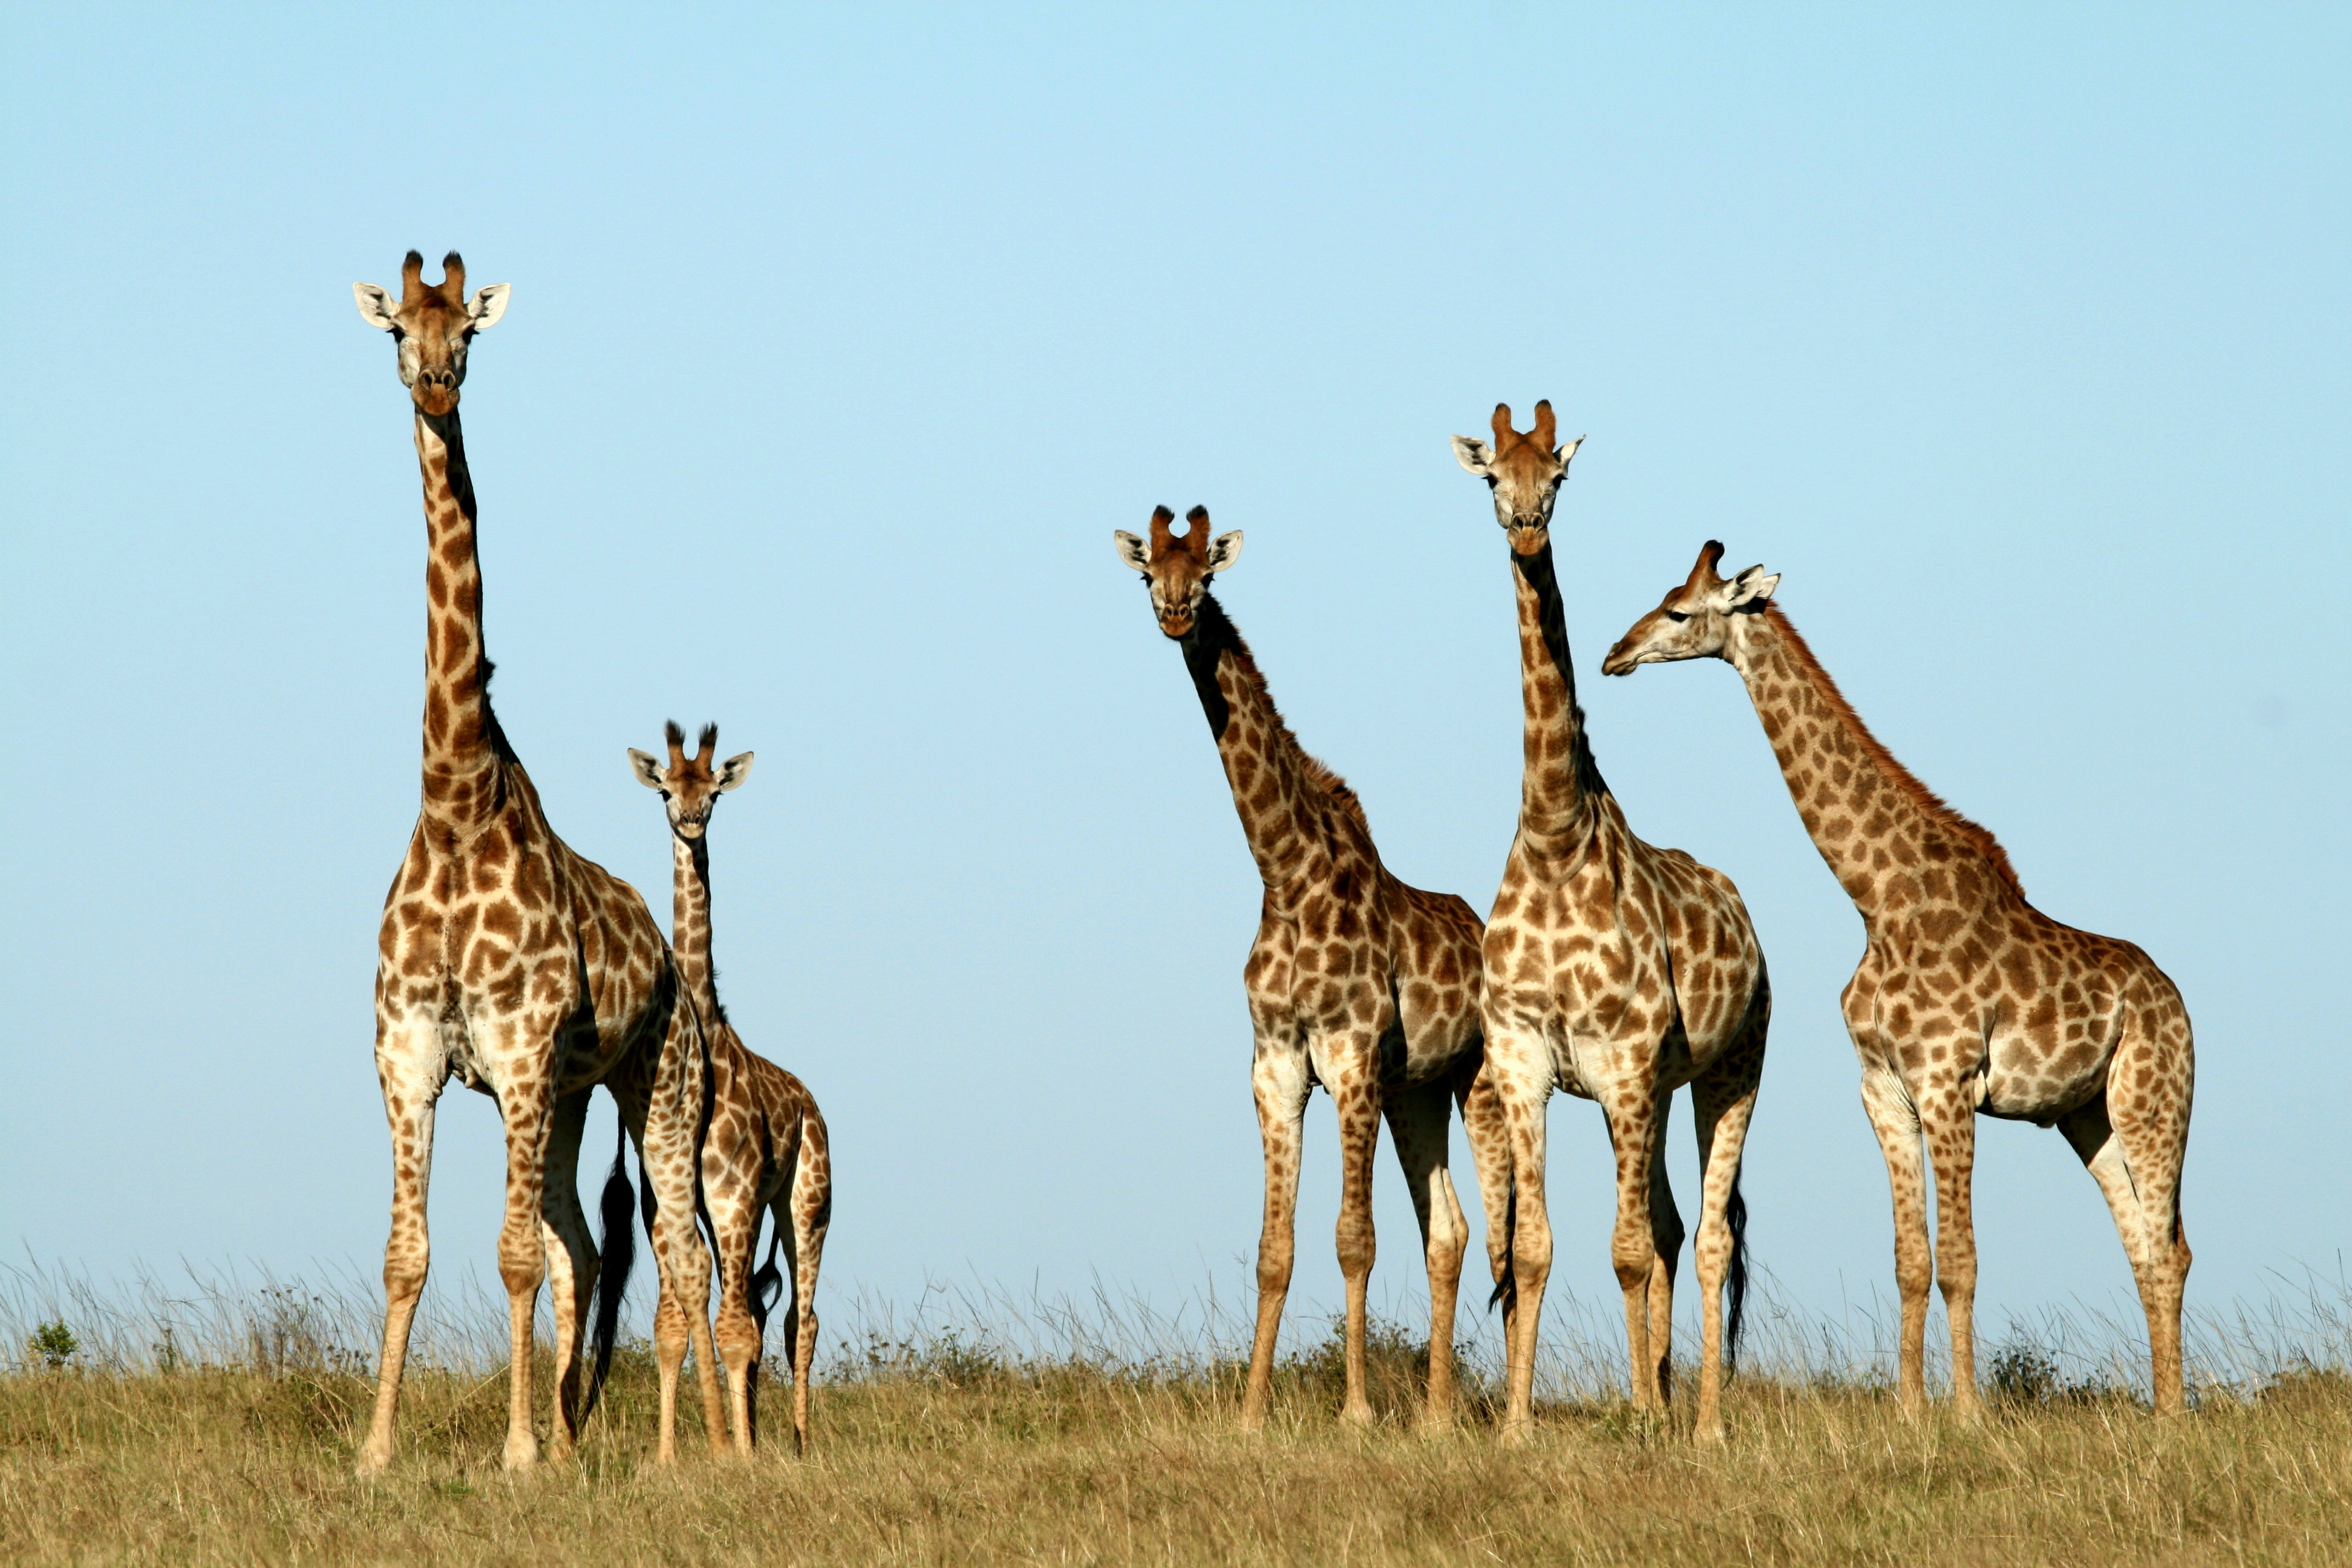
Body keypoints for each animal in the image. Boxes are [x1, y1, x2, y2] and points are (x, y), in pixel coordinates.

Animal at [348, 247, 724, 1476]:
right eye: (396, 330)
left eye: (468, 328)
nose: (434, 380)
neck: (455, 799)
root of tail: (674, 963)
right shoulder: (409, 1052)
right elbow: (407, 1254)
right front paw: (377, 1453)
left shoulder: (512, 1053)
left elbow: (509, 1255)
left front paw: (512, 1453)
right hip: (566, 1097)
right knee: (583, 1248)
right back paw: (572, 1441)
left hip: (648, 1087)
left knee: (666, 1258)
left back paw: (686, 1451)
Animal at [630, 724, 841, 1457]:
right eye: (666, 789)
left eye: (715, 791)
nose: (691, 820)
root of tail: (811, 1104)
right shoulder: (665, 1205)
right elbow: (673, 1329)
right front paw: (666, 1457)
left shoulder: (737, 1195)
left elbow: (737, 1331)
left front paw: (744, 1455)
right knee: (755, 1305)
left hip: (806, 1202)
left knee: (800, 1319)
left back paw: (800, 1442)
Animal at [1105, 510, 1505, 1429]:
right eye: (1148, 574)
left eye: (1206, 576)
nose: (1175, 613)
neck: (1286, 875)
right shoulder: (1277, 1063)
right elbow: (1274, 1248)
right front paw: (1250, 1414)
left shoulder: (1350, 1057)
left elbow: (1353, 1240)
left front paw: (1355, 1414)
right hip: (1418, 1091)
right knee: (1452, 1231)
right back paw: (1436, 1417)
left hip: (1479, 1080)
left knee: (1508, 1230)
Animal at [1449, 409, 1768, 1448]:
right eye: (1490, 478)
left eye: (1556, 474)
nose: (1524, 527)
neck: (1554, 833)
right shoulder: (1521, 1058)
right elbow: (1533, 1248)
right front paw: (1515, 1427)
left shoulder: (1625, 1061)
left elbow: (1626, 1248)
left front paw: (1651, 1418)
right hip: (1651, 1092)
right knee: (1668, 1225)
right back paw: (1655, 1396)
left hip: (1729, 1070)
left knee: (1700, 1234)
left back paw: (1696, 1420)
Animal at [1609, 545, 2192, 1420]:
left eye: (1680, 611)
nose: (1616, 654)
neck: (1880, 901)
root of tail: (2179, 1004)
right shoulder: (1883, 1087)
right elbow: (1911, 1258)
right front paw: (1912, 1411)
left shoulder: (1949, 1082)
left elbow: (1961, 1257)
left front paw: (1968, 1417)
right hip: (2087, 1115)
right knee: (2142, 1244)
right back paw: (2160, 1416)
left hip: (2152, 1101)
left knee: (2168, 1245)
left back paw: (2178, 1415)